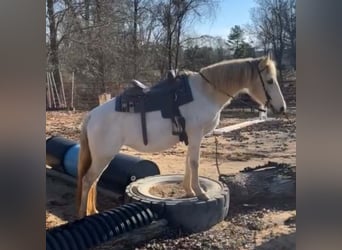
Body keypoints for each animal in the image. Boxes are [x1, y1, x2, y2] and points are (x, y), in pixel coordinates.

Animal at [77, 54, 286, 217]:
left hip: (102, 157)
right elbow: (194, 163)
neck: (206, 92)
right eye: (269, 81)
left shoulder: (192, 137)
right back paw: (82, 215)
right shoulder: (196, 135)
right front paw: (201, 193)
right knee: (88, 180)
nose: (281, 108)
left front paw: (189, 191)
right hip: (104, 155)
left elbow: (188, 163)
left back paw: (93, 211)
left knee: (94, 181)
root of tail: (92, 115)